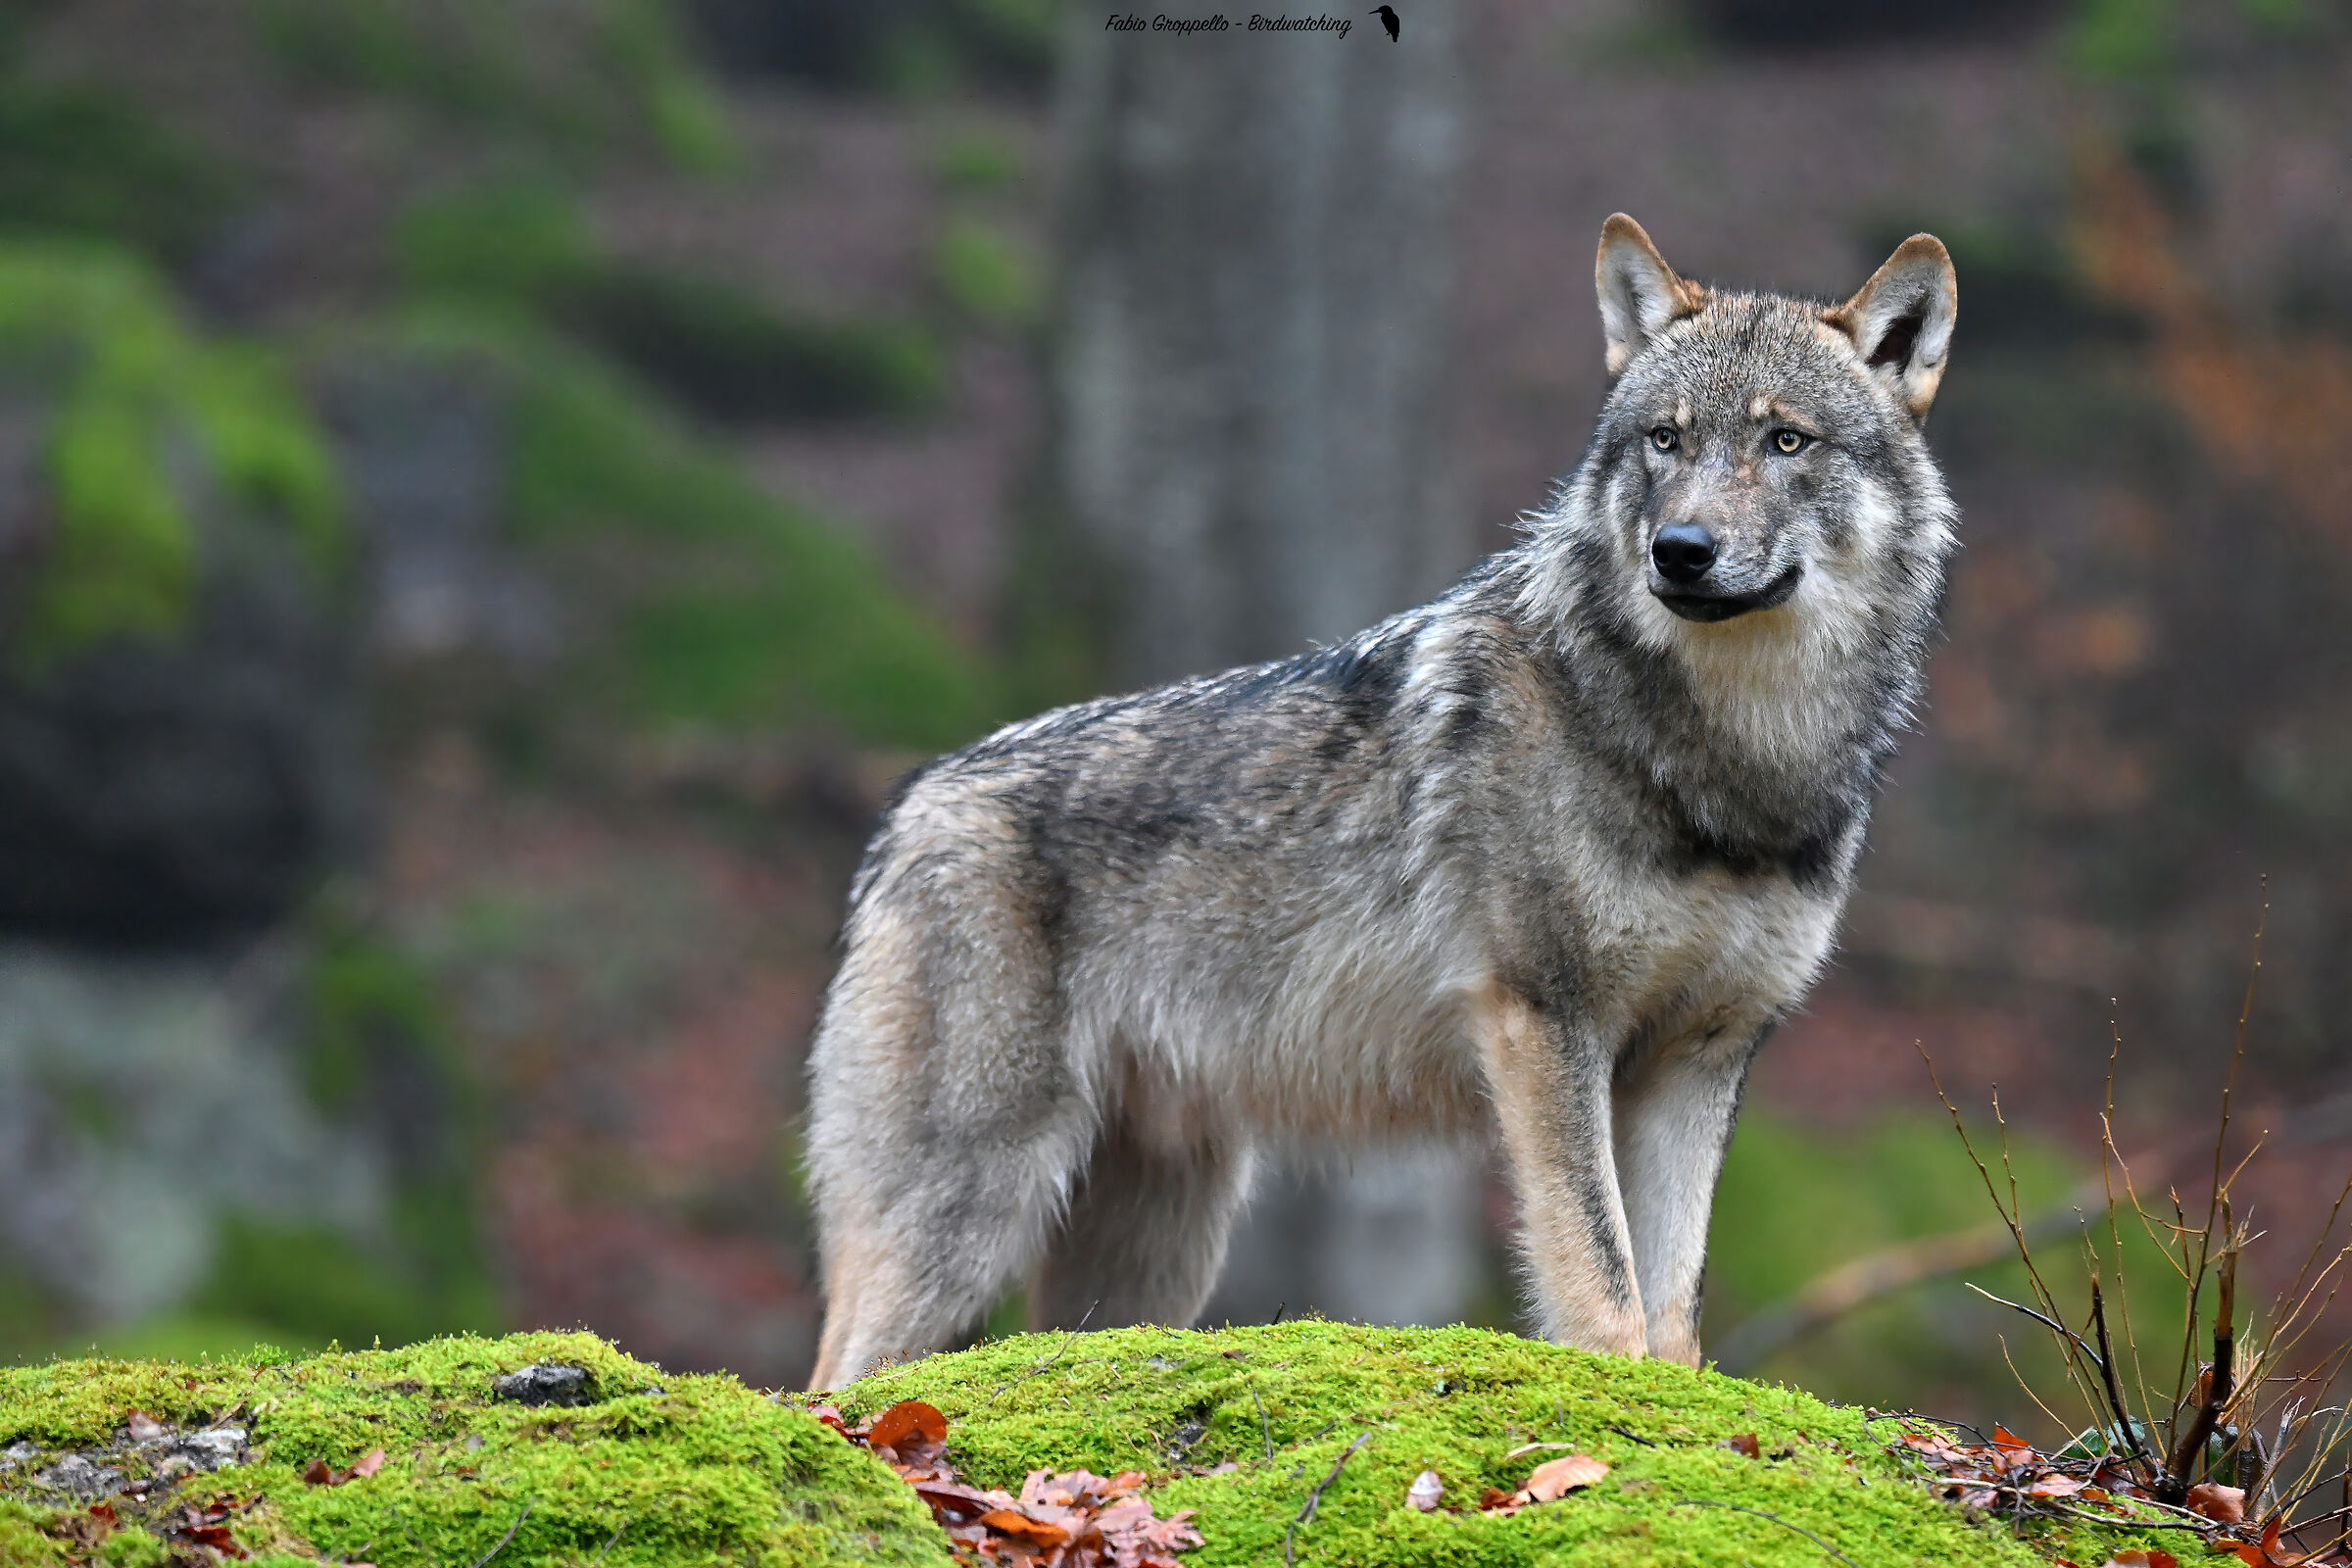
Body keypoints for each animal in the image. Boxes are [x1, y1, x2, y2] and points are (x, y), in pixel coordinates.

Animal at [804, 215, 1958, 1388]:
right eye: (1666, 441)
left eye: (1787, 442)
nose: (1678, 550)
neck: (1735, 764)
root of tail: (909, 805)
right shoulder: (1546, 1021)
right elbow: (1603, 1290)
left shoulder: (1701, 1058)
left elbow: (1671, 1322)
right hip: (970, 1219)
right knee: (827, 1382)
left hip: (1150, 1255)